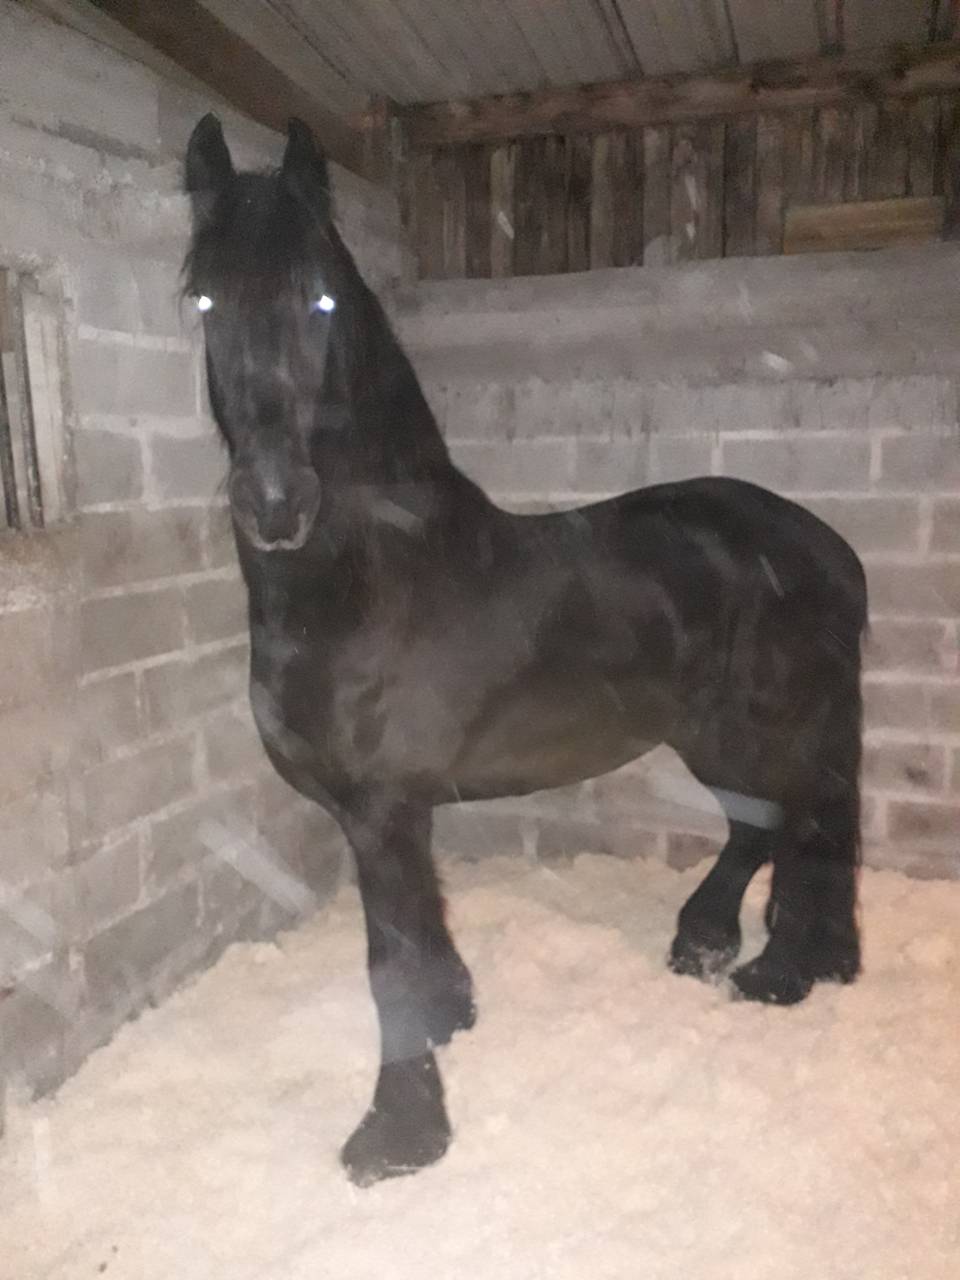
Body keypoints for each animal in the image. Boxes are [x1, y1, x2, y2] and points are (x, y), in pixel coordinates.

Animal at [183, 114, 867, 1187]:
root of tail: (825, 547)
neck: (374, 576)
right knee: (764, 824)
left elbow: (387, 956)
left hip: (771, 723)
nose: (275, 503)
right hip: (710, 731)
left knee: (801, 823)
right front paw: (450, 1018)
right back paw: (715, 945)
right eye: (205, 298)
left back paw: (780, 972)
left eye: (320, 298)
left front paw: (400, 1132)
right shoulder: (383, 811)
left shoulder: (381, 805)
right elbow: (417, 932)